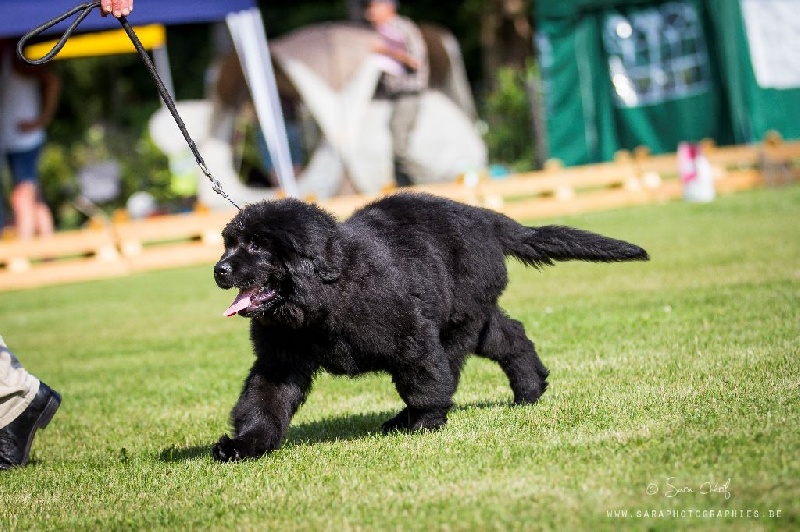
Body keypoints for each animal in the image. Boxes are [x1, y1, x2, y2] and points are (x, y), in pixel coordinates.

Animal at [209, 193, 648, 460]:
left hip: (459, 321)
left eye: (258, 245)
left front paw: (421, 423)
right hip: (476, 316)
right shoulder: (279, 359)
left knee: (452, 366)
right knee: (511, 337)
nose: (219, 269)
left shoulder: (412, 336)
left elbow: (423, 381)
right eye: (229, 243)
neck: (330, 291)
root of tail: (484, 218)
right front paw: (245, 445)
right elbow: (264, 400)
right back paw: (531, 389)